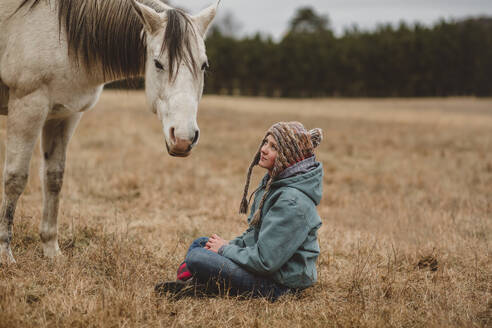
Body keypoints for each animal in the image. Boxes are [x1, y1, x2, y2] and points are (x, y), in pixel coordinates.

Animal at [0, 0, 219, 262]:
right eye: (158, 64)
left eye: (204, 65)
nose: (184, 139)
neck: (62, 30)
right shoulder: (27, 107)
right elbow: (15, 179)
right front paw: (5, 254)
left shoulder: (64, 116)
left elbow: (54, 178)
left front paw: (52, 251)